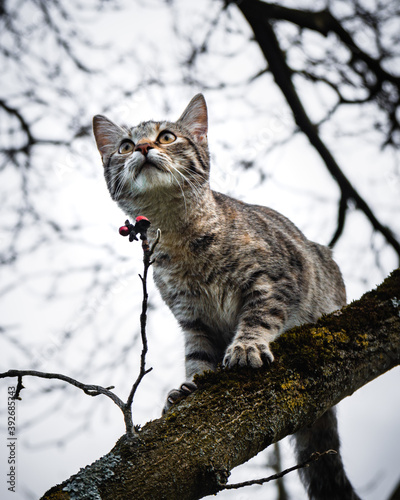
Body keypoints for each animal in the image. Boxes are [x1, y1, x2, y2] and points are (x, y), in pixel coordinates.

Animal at [93, 94, 360, 500]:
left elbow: (259, 314)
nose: (142, 147)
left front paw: (246, 346)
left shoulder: (276, 278)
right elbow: (197, 355)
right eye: (124, 146)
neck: (179, 237)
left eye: (166, 136)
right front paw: (190, 384)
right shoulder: (191, 317)